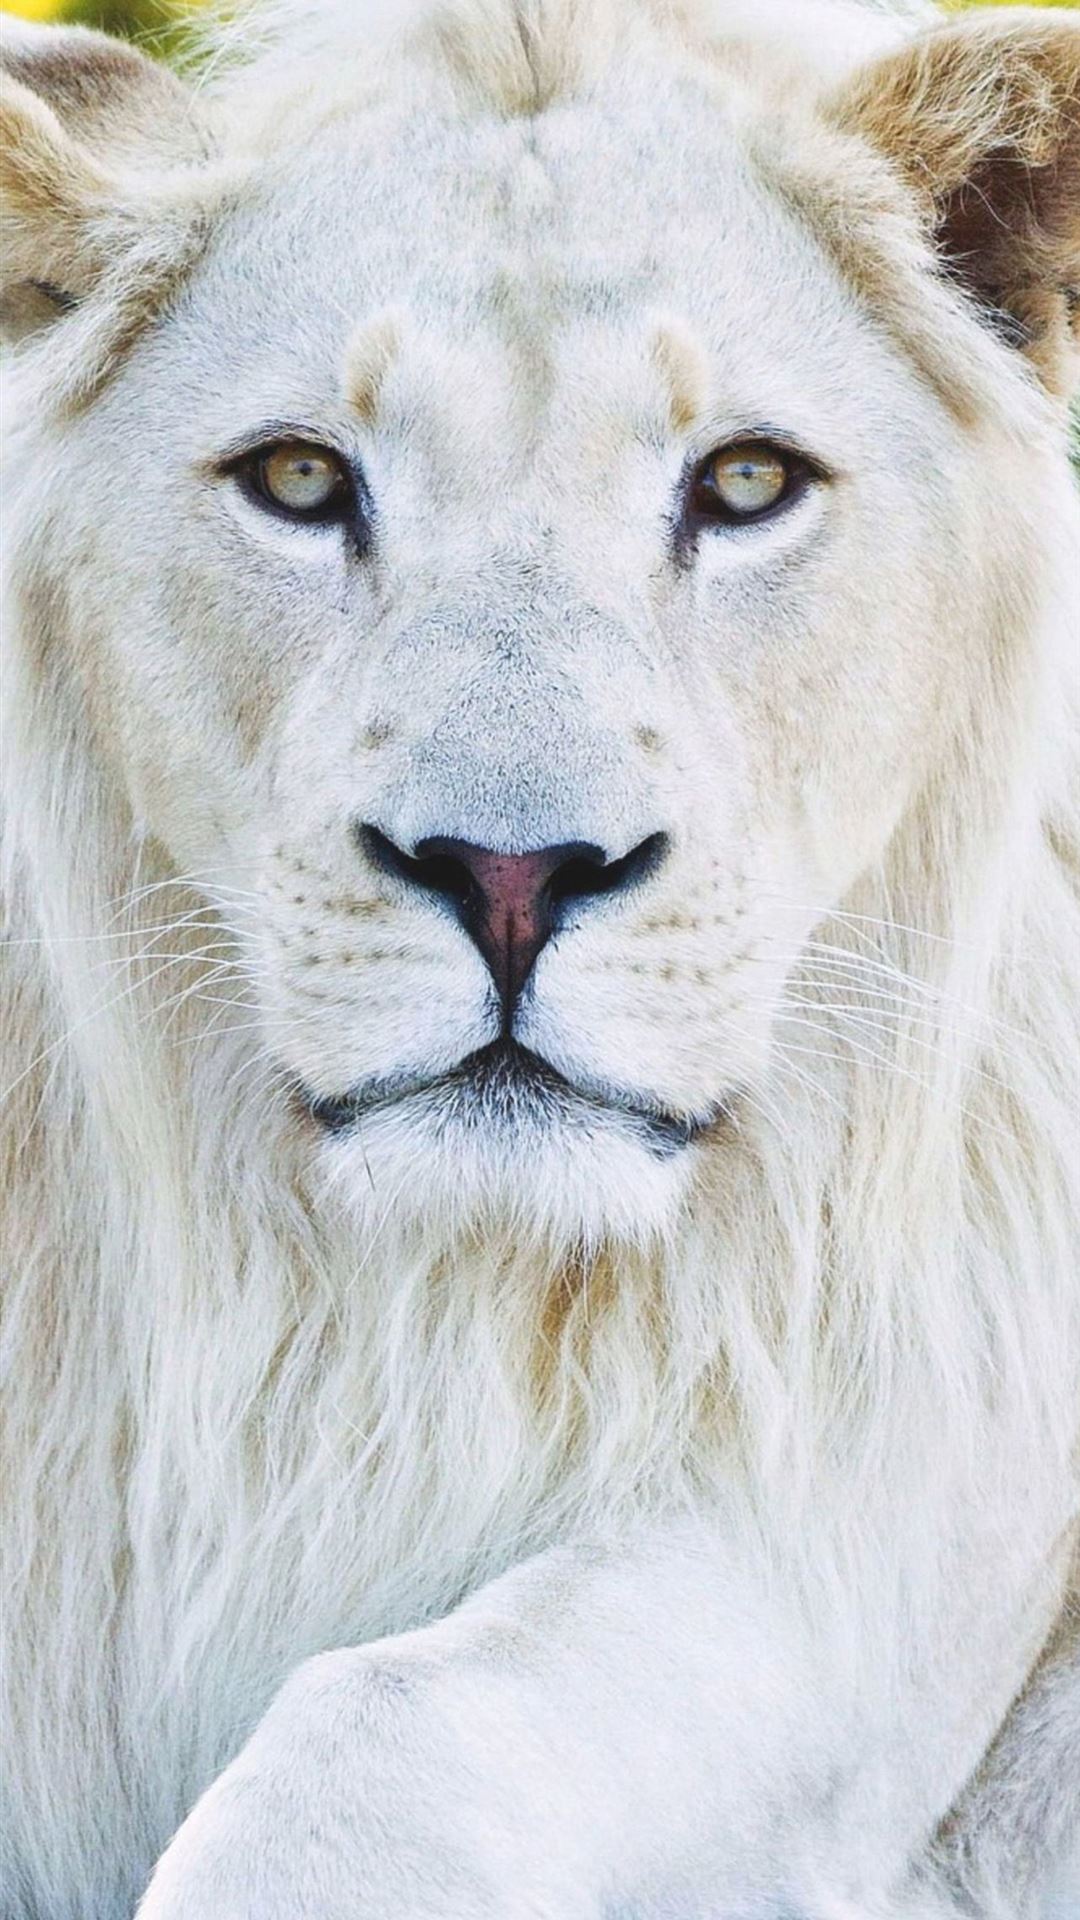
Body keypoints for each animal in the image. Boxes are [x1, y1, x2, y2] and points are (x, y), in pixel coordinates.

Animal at [1, 0, 1078, 1912]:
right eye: (299, 479)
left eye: (746, 482)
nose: (510, 877)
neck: (407, 1305)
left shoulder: (884, 1499)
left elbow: (390, 1734)